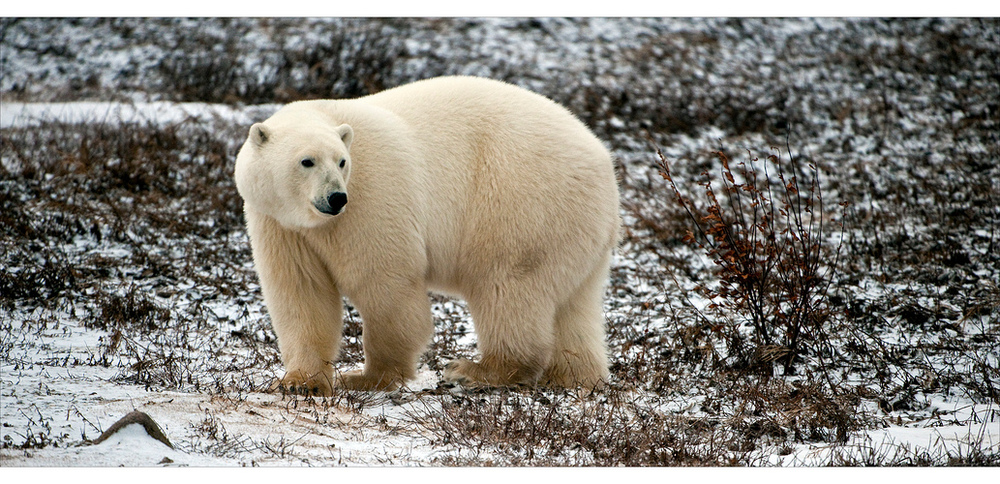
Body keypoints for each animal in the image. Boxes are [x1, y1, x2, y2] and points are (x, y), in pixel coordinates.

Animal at [235, 75, 620, 394]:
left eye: (342, 161)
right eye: (307, 161)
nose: (336, 197)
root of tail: (605, 161)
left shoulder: (372, 197)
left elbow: (386, 283)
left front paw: (367, 376)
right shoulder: (279, 223)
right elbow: (302, 292)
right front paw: (300, 382)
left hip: (520, 201)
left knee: (508, 285)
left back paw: (474, 371)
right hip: (576, 229)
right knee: (575, 304)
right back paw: (574, 375)